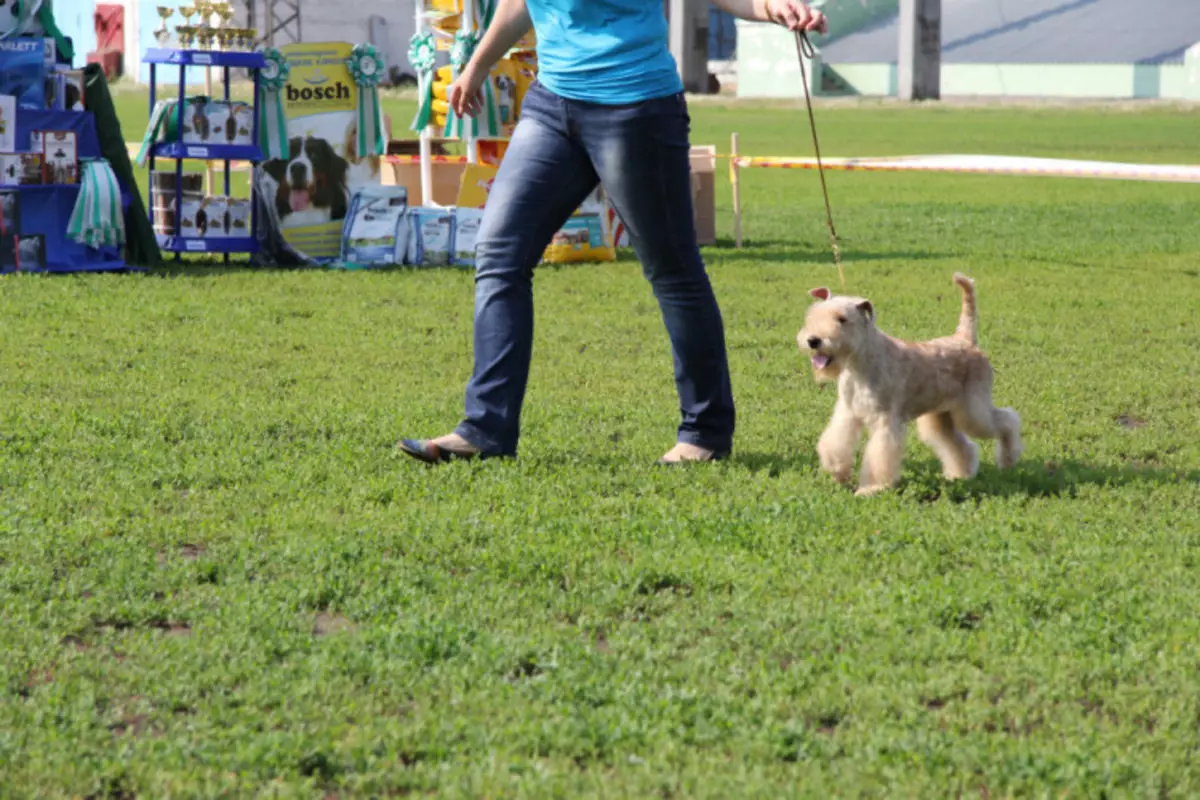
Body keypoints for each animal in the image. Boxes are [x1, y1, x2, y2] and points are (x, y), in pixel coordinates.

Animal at [796, 275, 1022, 494]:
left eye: (842, 319)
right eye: (814, 314)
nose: (813, 340)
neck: (860, 363)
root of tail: (966, 340)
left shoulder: (885, 420)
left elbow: (879, 457)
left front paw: (873, 487)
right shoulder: (848, 413)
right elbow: (835, 443)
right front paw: (836, 471)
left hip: (973, 412)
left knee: (1007, 421)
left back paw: (1008, 460)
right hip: (941, 416)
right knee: (960, 445)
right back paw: (960, 474)